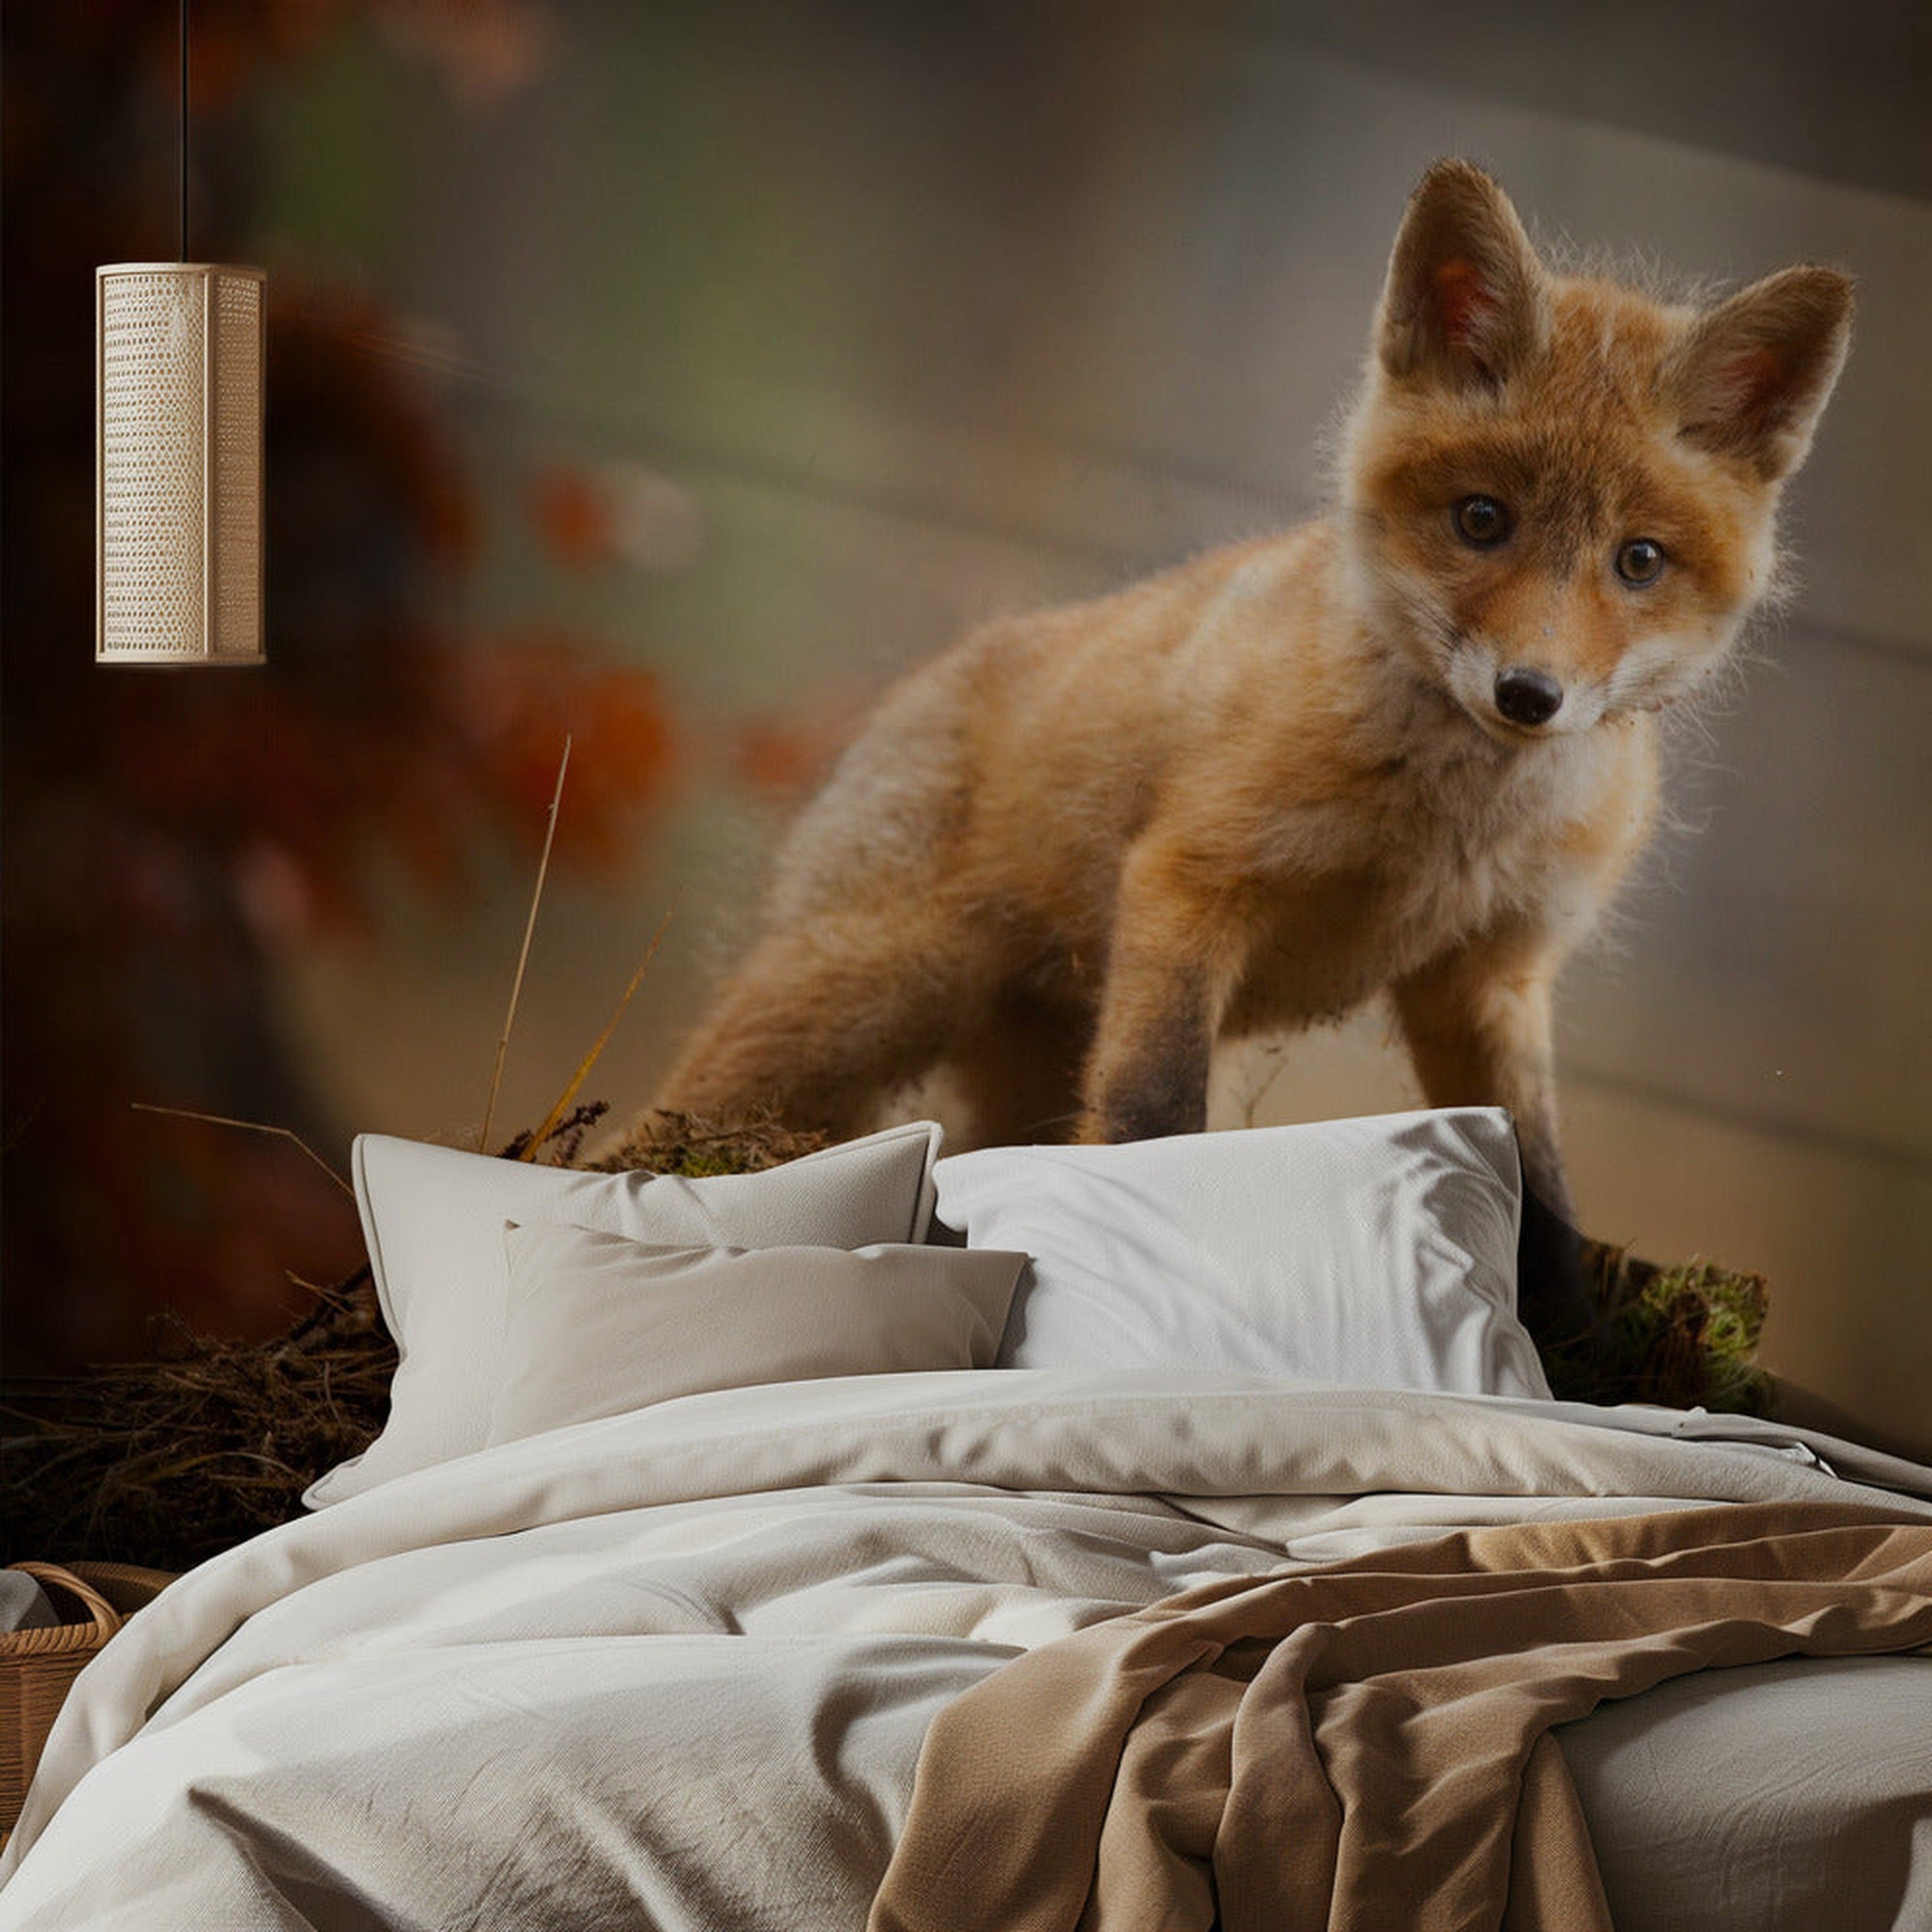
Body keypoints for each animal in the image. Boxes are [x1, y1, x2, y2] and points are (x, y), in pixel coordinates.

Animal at [649, 159, 1852, 1264]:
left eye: (1638, 561)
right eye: (1482, 521)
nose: (1529, 695)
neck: (1446, 829)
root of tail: (930, 673)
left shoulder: (1488, 977)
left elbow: (1543, 1186)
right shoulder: (1191, 883)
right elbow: (1154, 1114)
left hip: (1016, 1054)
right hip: (847, 1005)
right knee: (674, 1119)